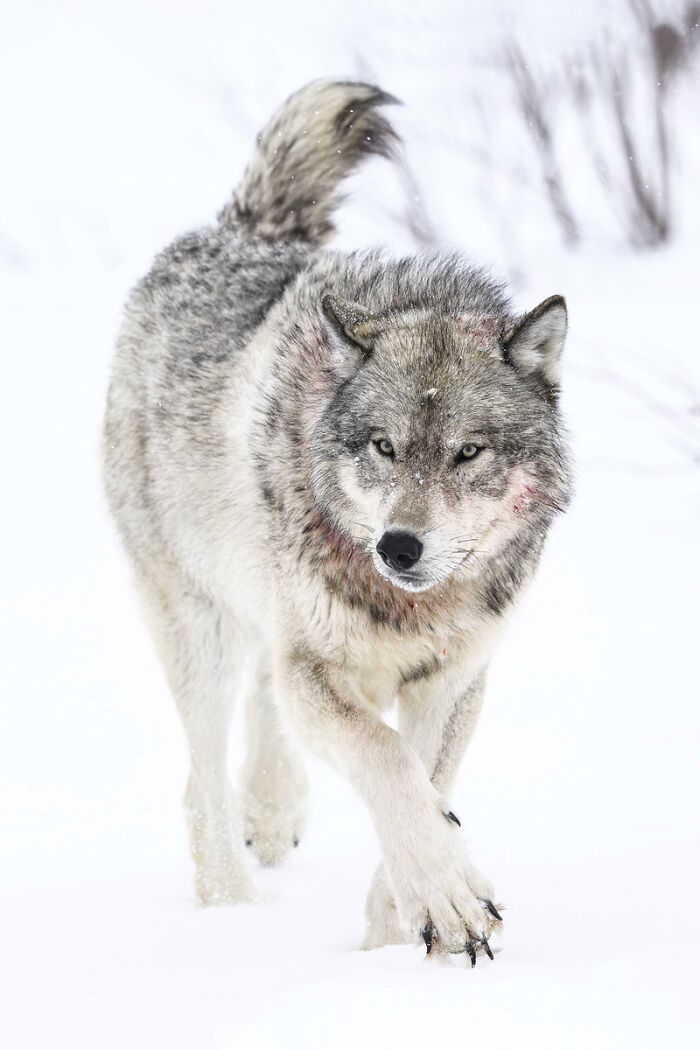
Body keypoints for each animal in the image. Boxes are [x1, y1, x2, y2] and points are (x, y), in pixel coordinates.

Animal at [103, 80, 572, 963]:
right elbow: (389, 765)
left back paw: (272, 814)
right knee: (202, 780)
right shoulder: (317, 672)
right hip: (200, 626)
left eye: (467, 453)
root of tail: (242, 230)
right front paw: (448, 899)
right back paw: (229, 912)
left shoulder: (452, 682)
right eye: (384, 445)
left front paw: (401, 939)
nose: (399, 545)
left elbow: (427, 787)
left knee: (252, 714)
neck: (406, 607)